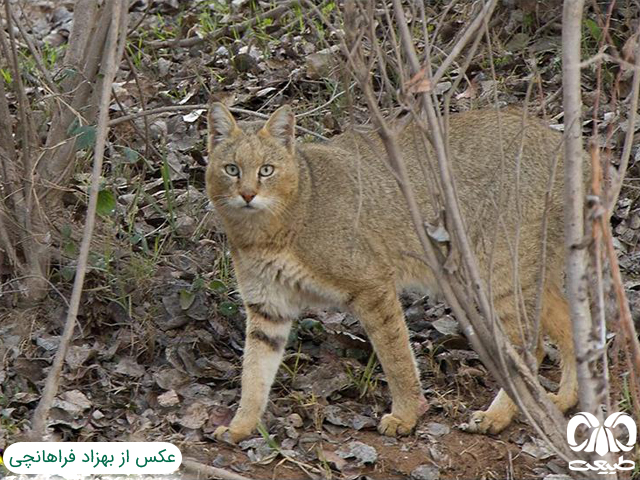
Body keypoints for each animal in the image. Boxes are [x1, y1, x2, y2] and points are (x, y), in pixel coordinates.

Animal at [208, 102, 576, 442]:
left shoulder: (372, 284)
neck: (264, 233)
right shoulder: (267, 307)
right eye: (232, 169)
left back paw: (497, 415)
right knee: (568, 325)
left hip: (495, 274)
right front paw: (240, 427)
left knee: (528, 347)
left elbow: (395, 355)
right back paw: (564, 399)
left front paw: (406, 416)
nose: (247, 194)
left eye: (266, 170)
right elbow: (254, 373)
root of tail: (562, 143)